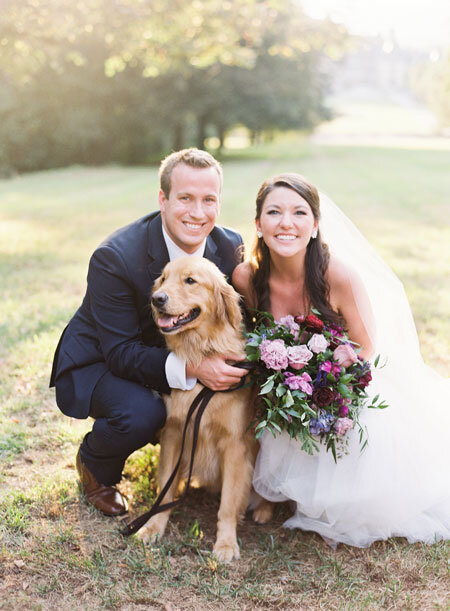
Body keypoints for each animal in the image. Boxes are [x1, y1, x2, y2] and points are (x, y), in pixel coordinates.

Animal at [135, 256, 272, 560]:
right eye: (163, 279)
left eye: (190, 280)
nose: (156, 299)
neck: (200, 350)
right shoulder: (174, 434)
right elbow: (165, 489)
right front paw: (153, 527)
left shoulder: (235, 446)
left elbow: (228, 504)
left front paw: (225, 543)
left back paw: (264, 509)